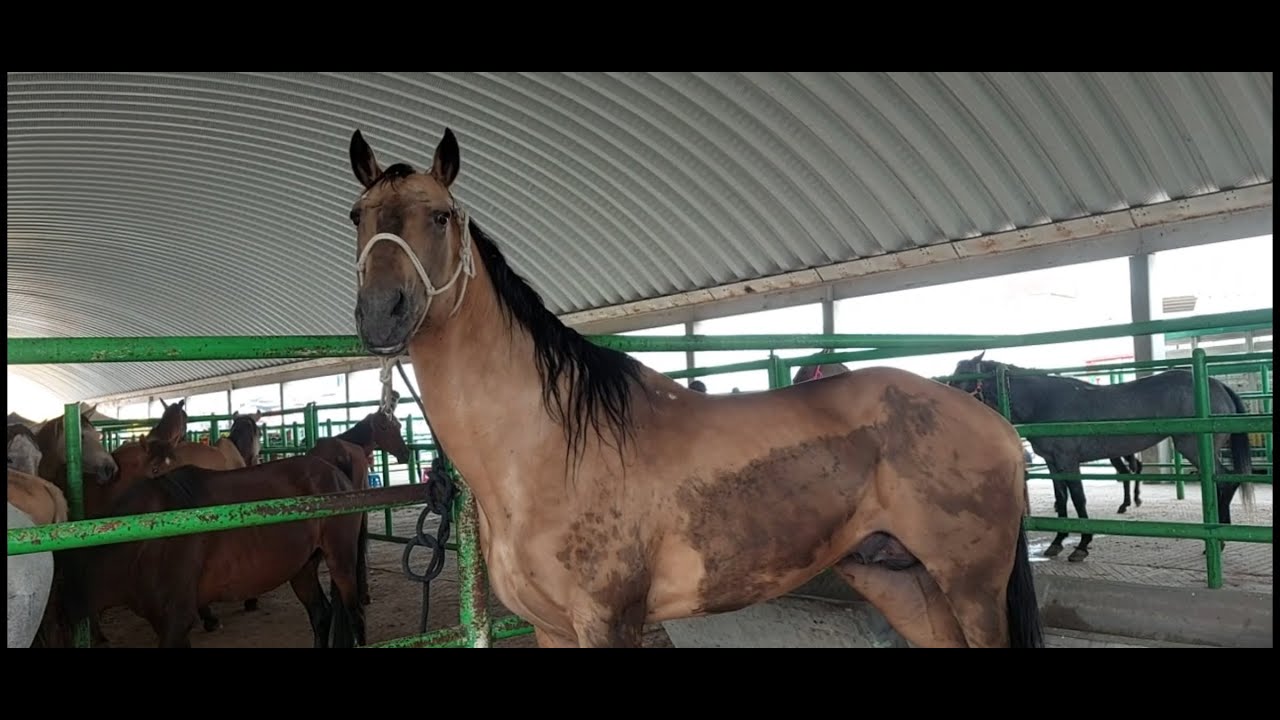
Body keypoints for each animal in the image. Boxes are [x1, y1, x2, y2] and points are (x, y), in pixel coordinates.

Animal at [60, 454, 368, 648]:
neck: (144, 536)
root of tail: (337, 473)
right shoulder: (165, 623)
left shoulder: (176, 620)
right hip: (302, 569)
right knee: (321, 615)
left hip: (341, 561)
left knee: (356, 616)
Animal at [341, 127, 1043, 647]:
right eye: (357, 216)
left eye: (440, 216)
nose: (381, 314)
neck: (543, 445)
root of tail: (997, 424)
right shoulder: (551, 629)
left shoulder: (609, 624)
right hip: (901, 580)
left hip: (971, 587)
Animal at [947, 353, 1256, 562]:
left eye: (964, 383)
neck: (1044, 401)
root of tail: (1218, 385)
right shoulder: (1054, 463)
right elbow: (1062, 500)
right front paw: (1057, 542)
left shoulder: (1069, 461)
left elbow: (1078, 499)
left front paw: (1082, 545)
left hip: (1194, 447)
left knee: (1224, 481)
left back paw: (1218, 541)